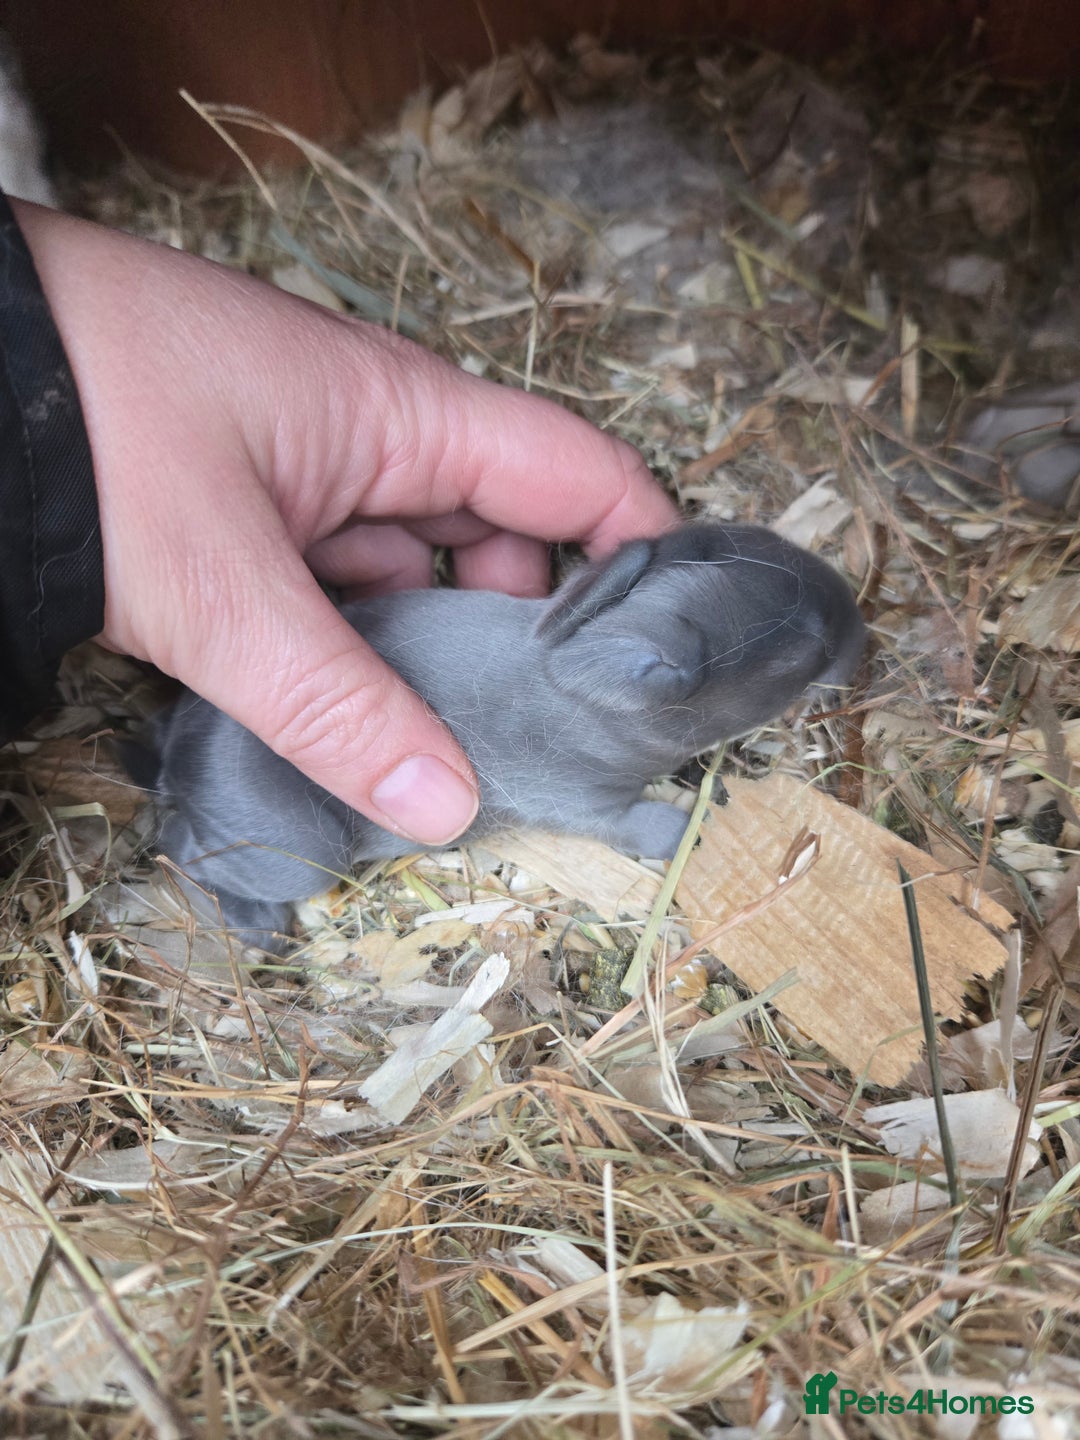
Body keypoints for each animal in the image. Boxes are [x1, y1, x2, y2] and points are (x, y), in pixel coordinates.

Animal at [138, 523, 865, 947]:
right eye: (799, 655)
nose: (865, 638)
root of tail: (176, 757)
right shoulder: (575, 798)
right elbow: (633, 824)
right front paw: (691, 822)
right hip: (300, 851)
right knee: (182, 847)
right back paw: (259, 928)